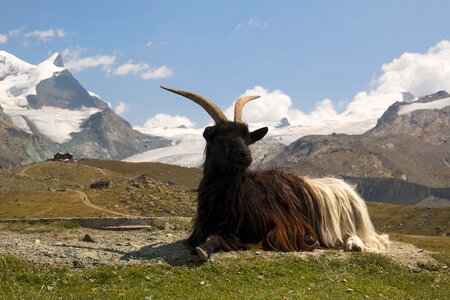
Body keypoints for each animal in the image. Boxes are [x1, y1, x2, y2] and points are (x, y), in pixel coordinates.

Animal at [161, 86, 386, 260]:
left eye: (248, 138)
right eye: (220, 137)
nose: (246, 155)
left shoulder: (262, 230)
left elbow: (218, 238)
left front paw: (204, 250)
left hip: (351, 225)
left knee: (359, 237)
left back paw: (354, 244)